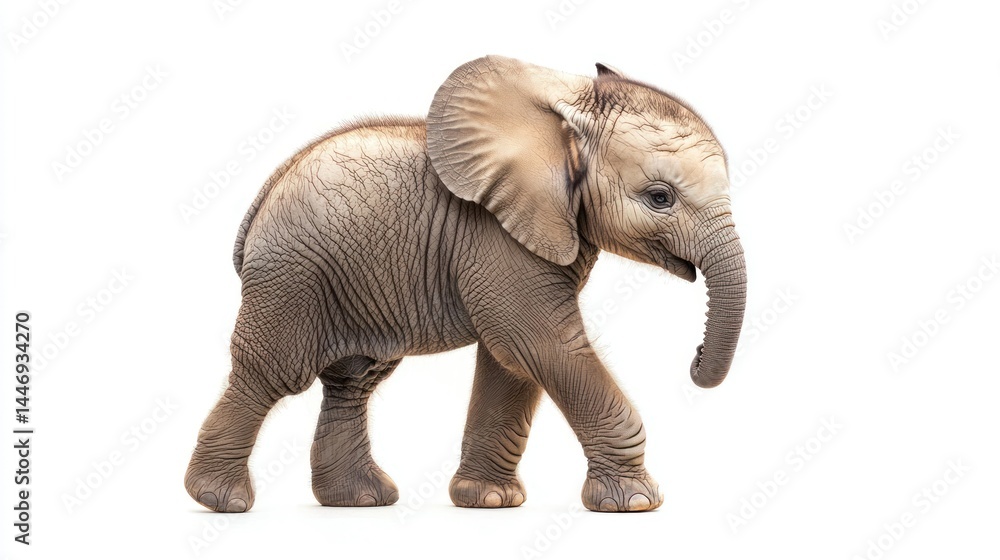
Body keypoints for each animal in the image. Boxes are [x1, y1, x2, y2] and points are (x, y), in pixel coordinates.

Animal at [184, 55, 747, 514]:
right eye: (659, 197)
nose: (694, 358)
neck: (565, 106)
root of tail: (261, 200)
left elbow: (513, 360)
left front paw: (490, 501)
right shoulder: (497, 236)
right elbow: (541, 344)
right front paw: (634, 503)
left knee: (354, 379)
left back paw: (360, 500)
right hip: (292, 275)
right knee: (271, 374)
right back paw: (220, 500)